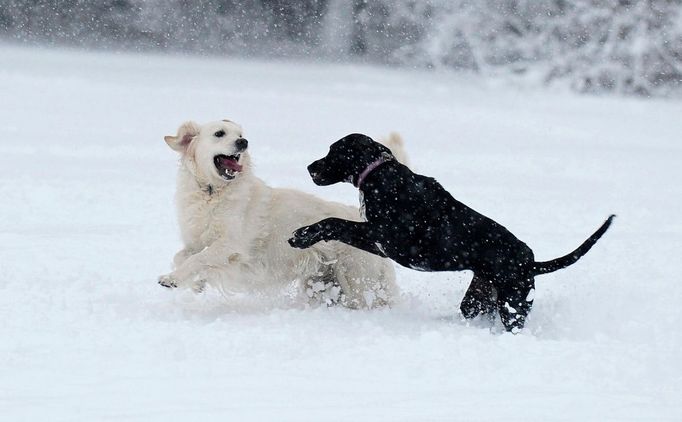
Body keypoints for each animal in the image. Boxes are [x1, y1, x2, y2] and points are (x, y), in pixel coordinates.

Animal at [160, 118, 406, 306]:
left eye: (240, 134)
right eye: (219, 133)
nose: (243, 142)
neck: (212, 193)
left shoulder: (231, 245)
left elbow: (199, 258)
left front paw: (172, 279)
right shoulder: (195, 241)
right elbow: (181, 256)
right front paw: (196, 283)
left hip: (356, 280)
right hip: (320, 283)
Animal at [286, 134, 612, 332]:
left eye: (334, 152)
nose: (310, 167)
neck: (381, 175)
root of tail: (531, 262)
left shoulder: (385, 239)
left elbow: (334, 222)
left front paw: (302, 235)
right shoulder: (379, 242)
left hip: (513, 305)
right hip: (479, 299)